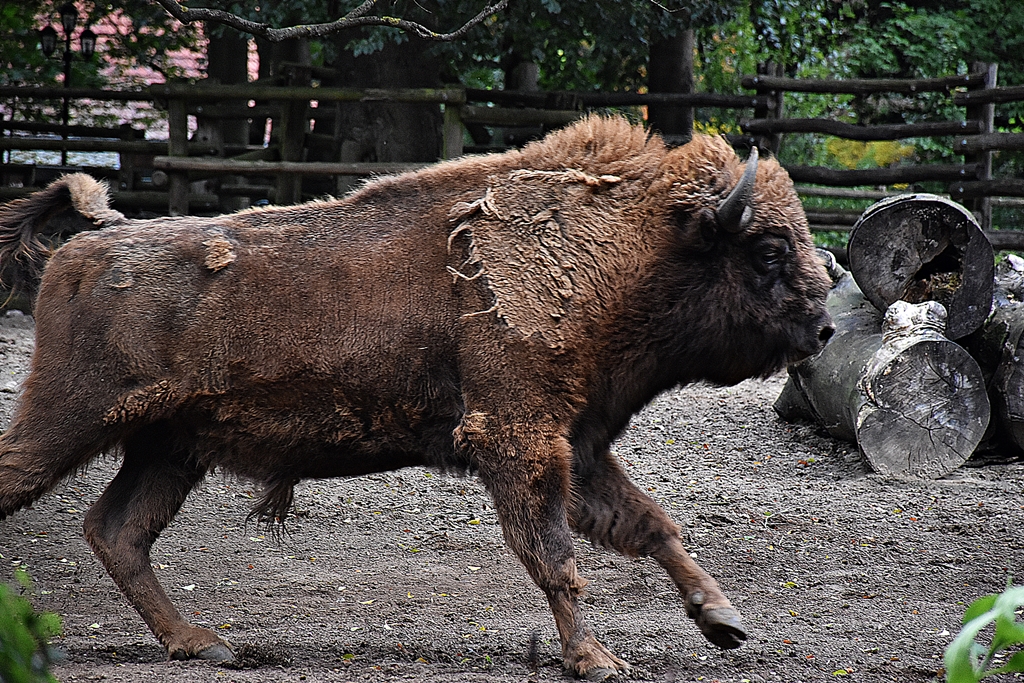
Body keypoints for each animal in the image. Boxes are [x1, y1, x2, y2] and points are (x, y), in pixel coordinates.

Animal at [0, 116, 833, 678]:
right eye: (768, 250)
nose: (824, 327)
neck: (622, 250)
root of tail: (83, 247)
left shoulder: (579, 444)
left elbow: (651, 525)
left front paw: (723, 619)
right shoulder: (520, 440)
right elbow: (556, 555)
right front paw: (596, 657)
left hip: (170, 447)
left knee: (119, 530)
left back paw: (206, 643)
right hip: (65, 421)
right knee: (55, 498)